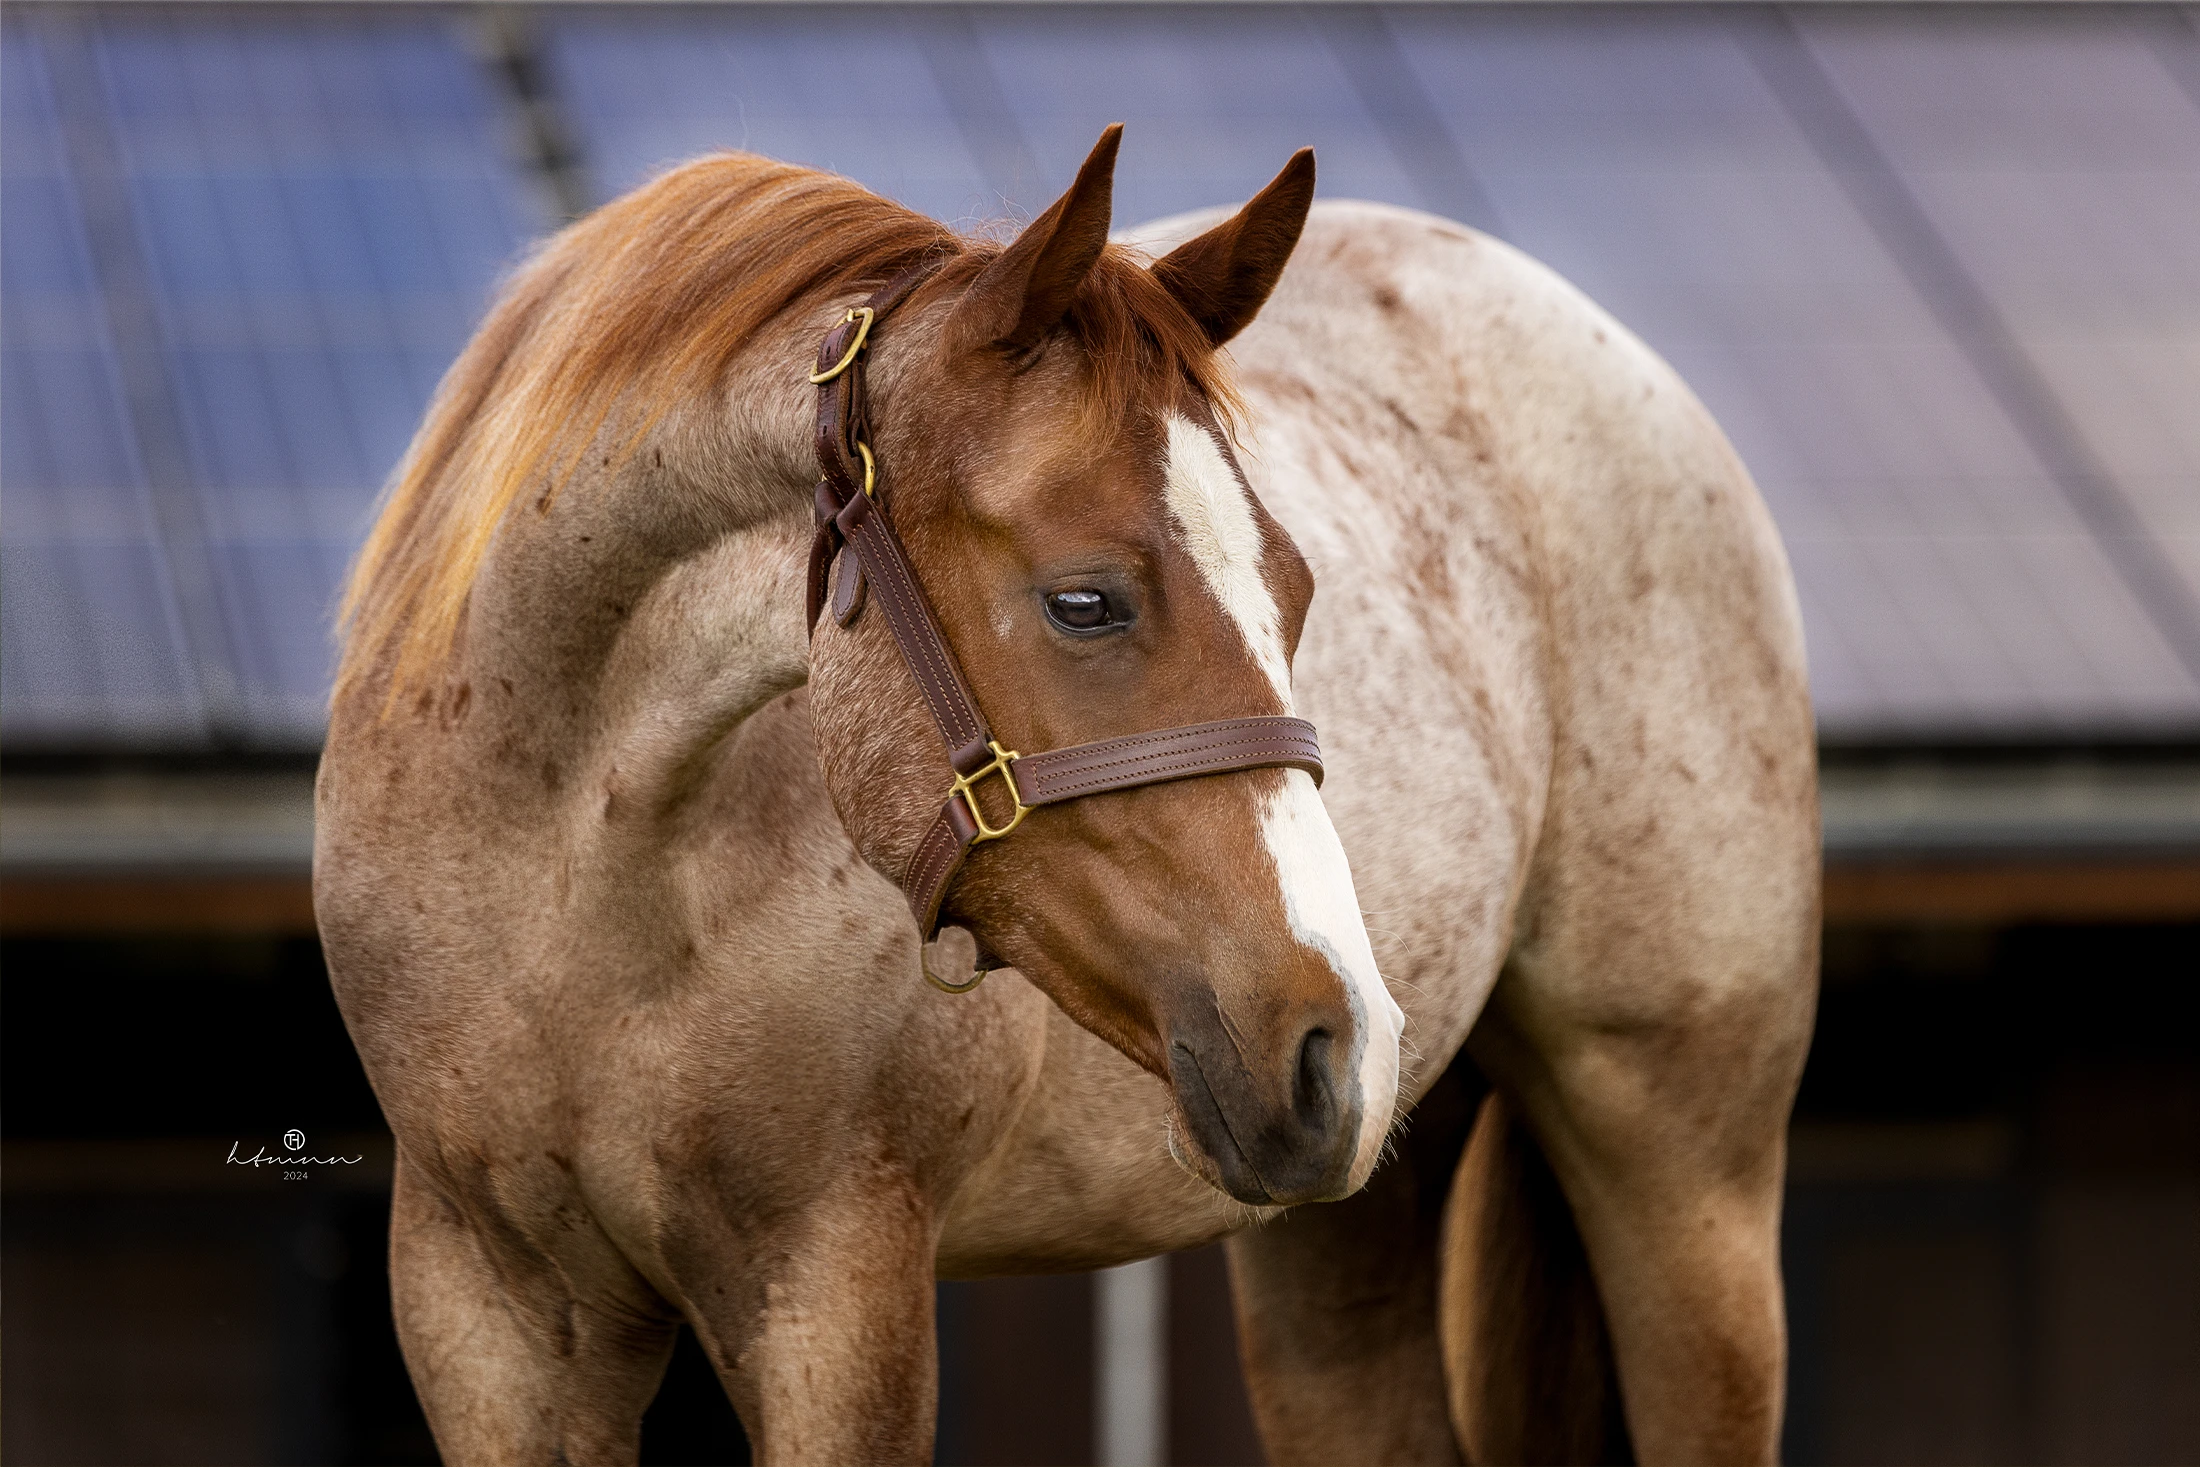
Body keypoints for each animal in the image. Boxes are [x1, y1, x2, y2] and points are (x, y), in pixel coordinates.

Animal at [314, 129, 1821, 1467]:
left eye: (1297, 588)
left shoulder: (837, 1290)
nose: (1340, 1034)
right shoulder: (490, 1309)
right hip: (1336, 1249)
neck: (575, 873)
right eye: (1085, 599)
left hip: (1688, 1184)